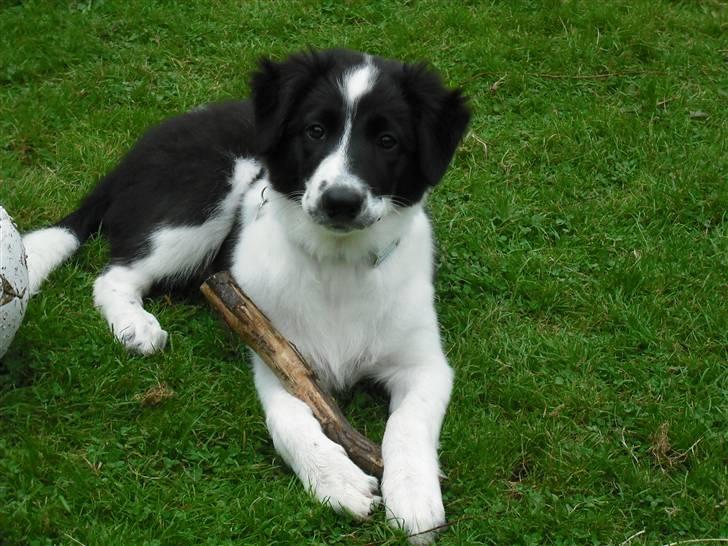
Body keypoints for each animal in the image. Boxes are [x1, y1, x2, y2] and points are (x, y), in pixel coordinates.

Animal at [22, 49, 472, 540]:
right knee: (115, 275)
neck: (337, 266)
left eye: (388, 141)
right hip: (207, 196)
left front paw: (413, 497)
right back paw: (135, 325)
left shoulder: (423, 364)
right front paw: (337, 480)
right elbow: (289, 421)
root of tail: (132, 156)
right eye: (315, 131)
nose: (339, 202)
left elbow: (408, 423)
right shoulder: (278, 357)